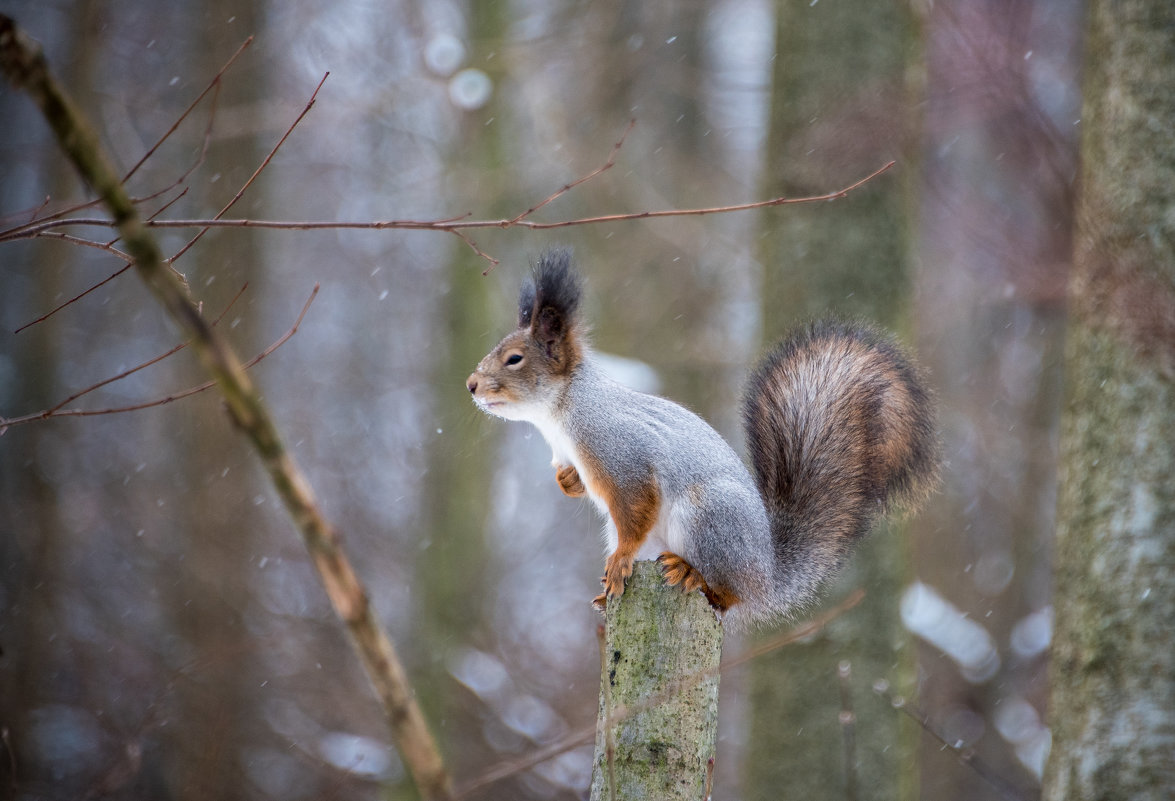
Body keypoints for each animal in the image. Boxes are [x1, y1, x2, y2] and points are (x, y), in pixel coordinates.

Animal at [465, 248, 935, 624]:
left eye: (513, 359)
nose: (471, 384)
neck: (559, 416)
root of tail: (766, 576)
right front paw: (567, 482)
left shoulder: (620, 451)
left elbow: (636, 506)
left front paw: (620, 560)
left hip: (708, 518)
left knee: (726, 596)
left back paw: (692, 574)